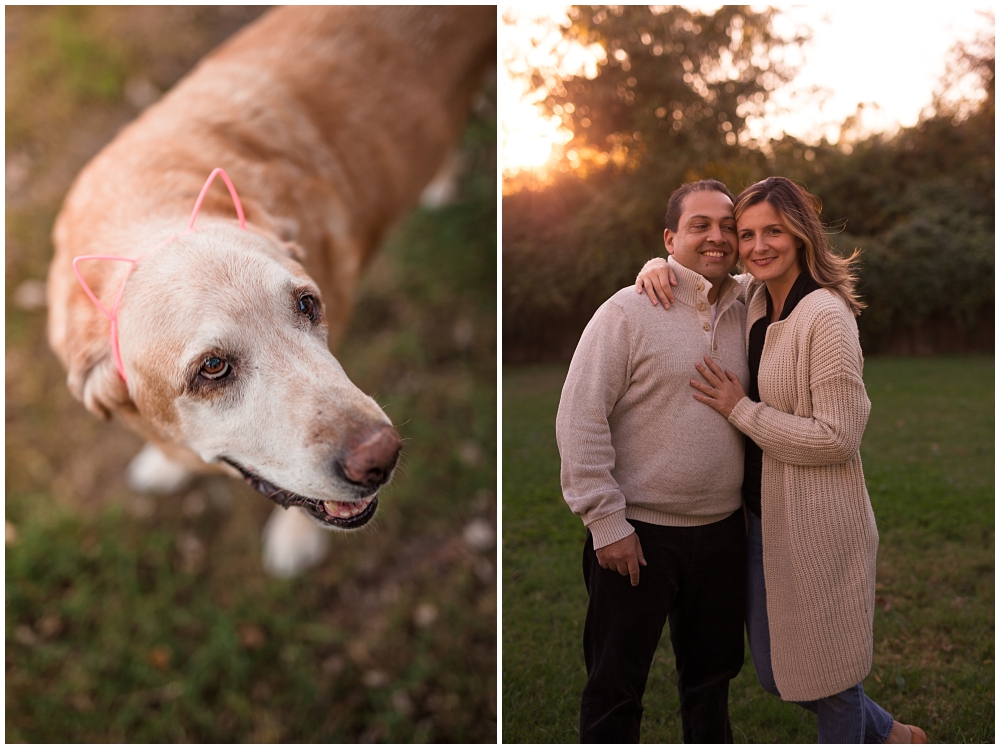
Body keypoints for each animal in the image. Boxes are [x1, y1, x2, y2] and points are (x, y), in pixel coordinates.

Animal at [47, 7, 500, 572]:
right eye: (212, 368)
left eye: (307, 305)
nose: (382, 456)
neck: (151, 210)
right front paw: (163, 464)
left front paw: (295, 539)